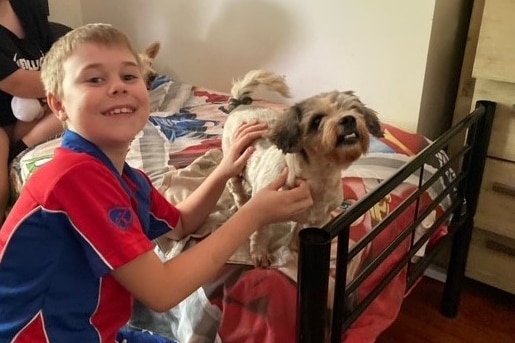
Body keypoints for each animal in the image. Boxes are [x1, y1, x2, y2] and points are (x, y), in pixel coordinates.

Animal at [222, 70, 382, 268]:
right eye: (317, 120)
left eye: (354, 109)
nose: (349, 119)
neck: (319, 178)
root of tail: (241, 107)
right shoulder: (262, 213)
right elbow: (261, 234)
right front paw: (260, 253)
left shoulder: (318, 219)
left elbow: (301, 229)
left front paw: (296, 246)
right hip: (234, 162)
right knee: (236, 190)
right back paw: (242, 202)